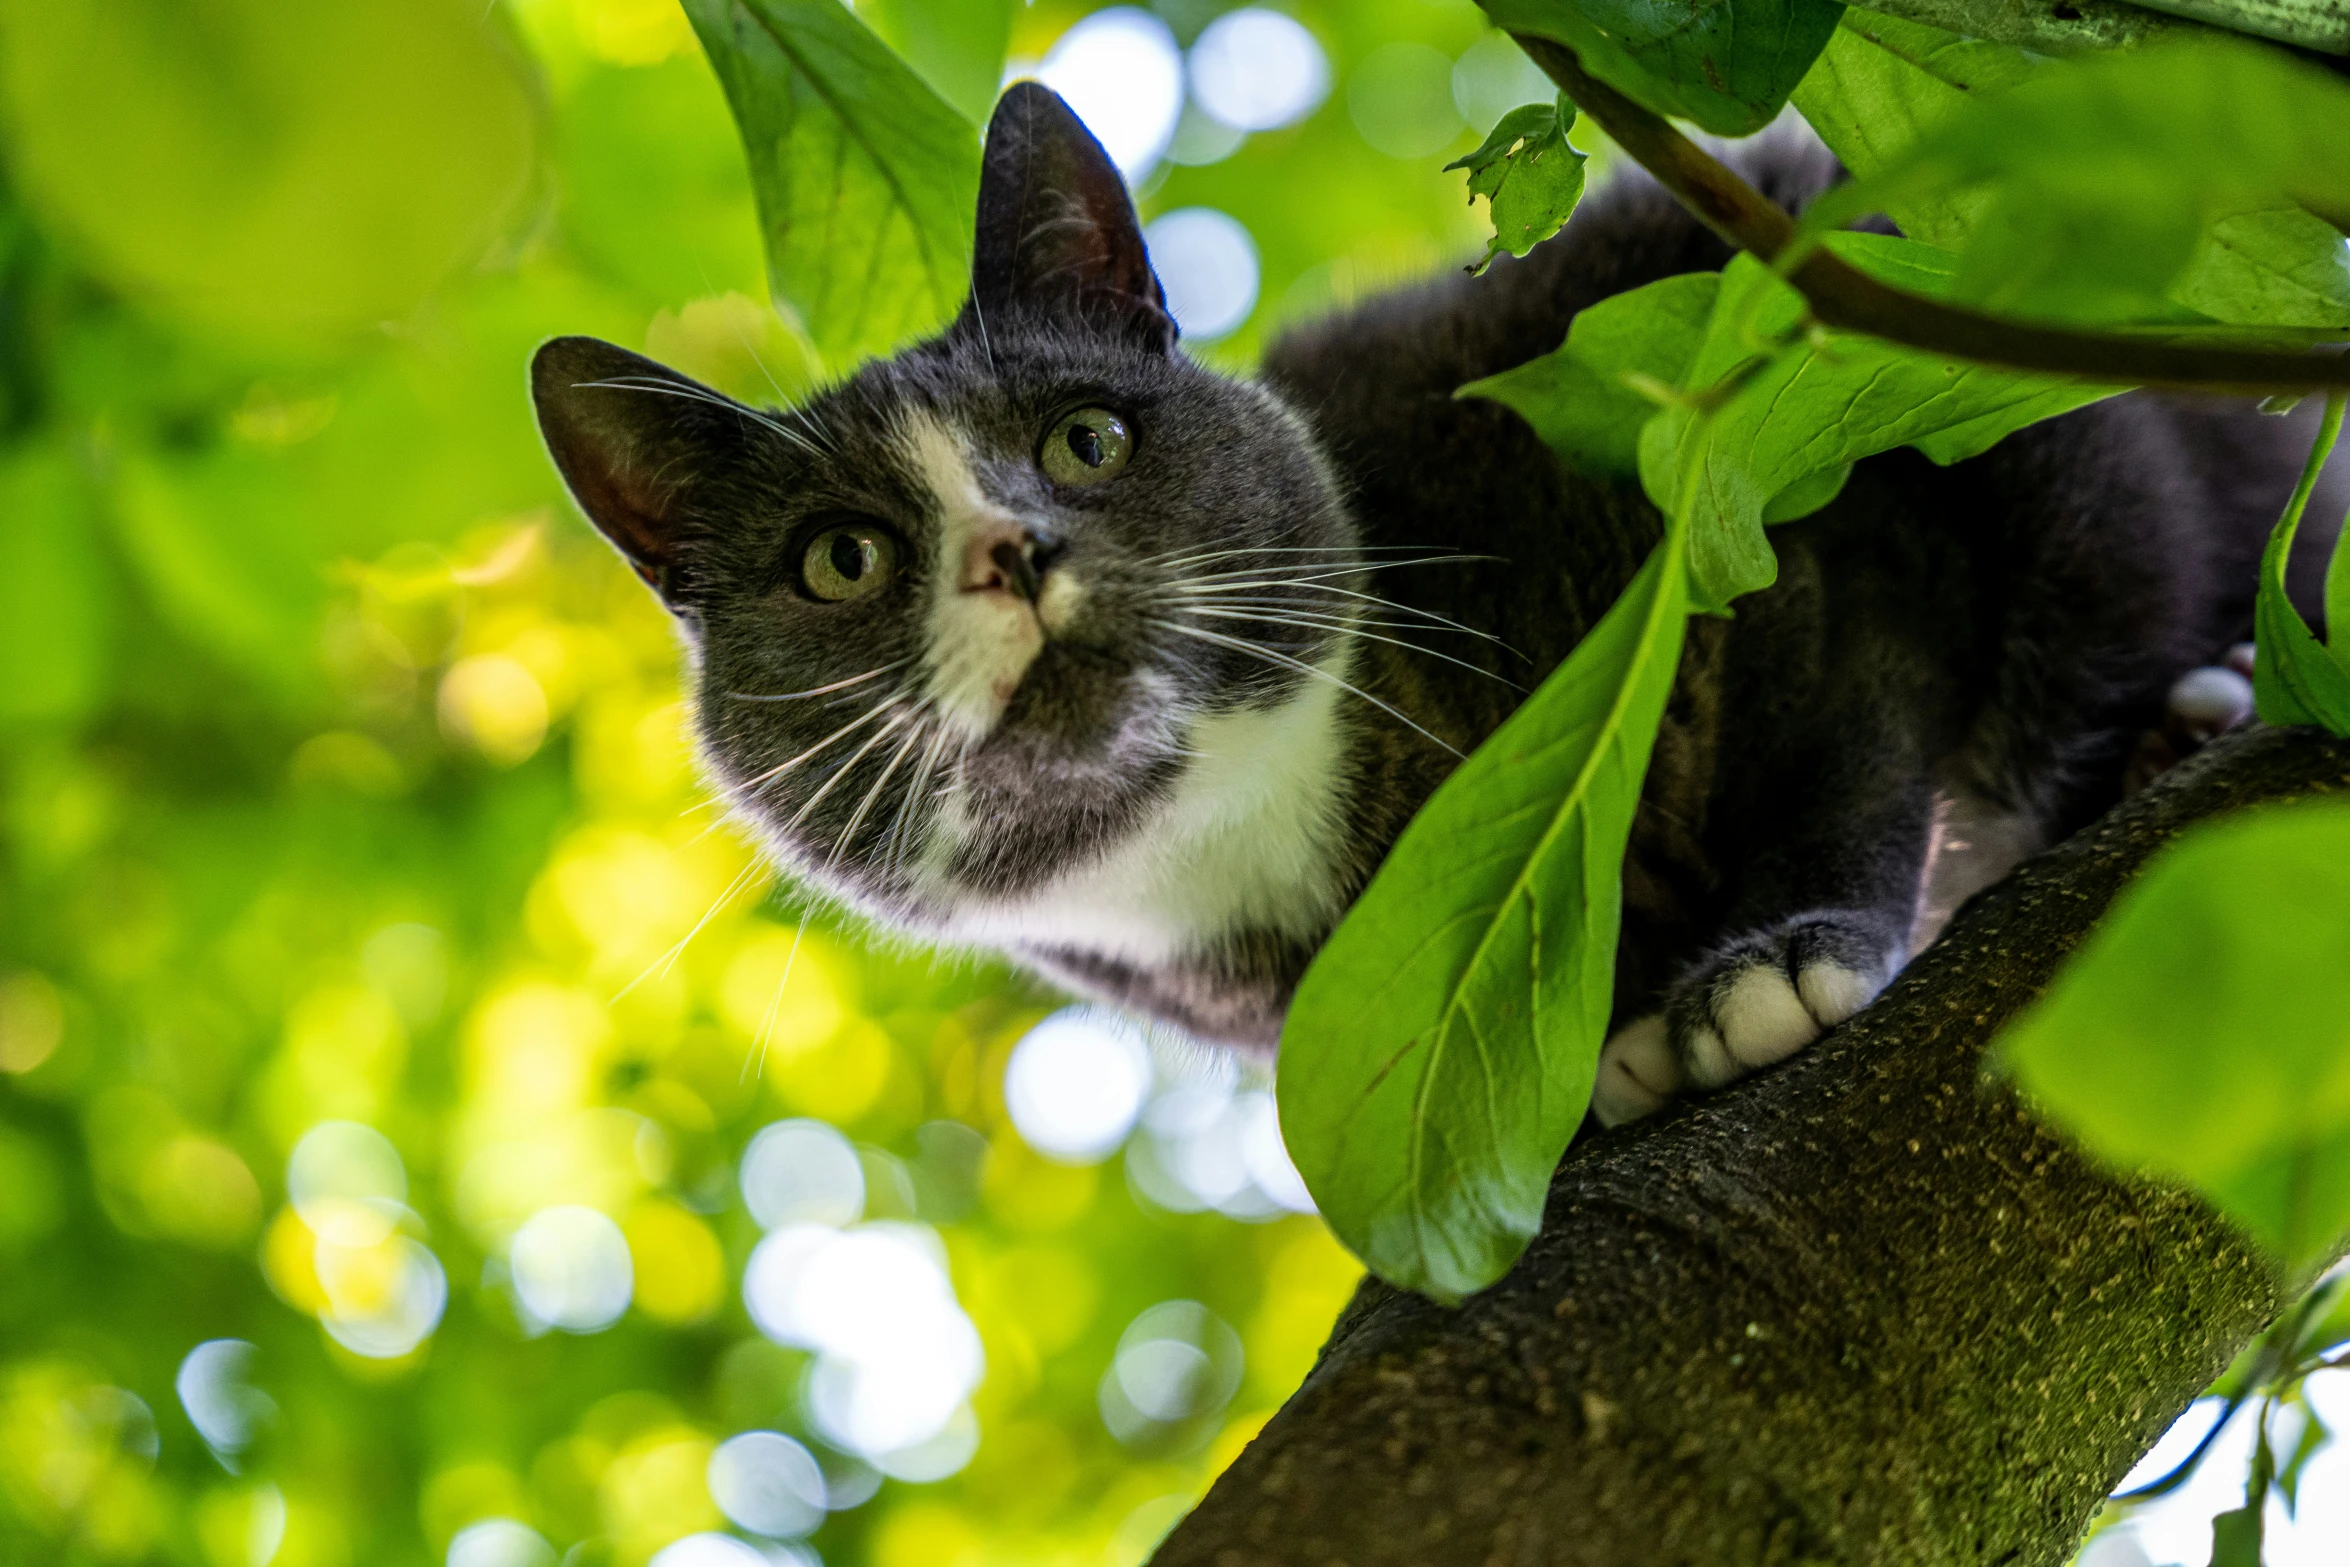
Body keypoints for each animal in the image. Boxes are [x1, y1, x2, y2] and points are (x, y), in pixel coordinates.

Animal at [533, 79, 2331, 1127]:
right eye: (841, 559)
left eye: (1084, 438)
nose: (1010, 548)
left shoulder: (1764, 413)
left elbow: (1850, 707)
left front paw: (1768, 962)